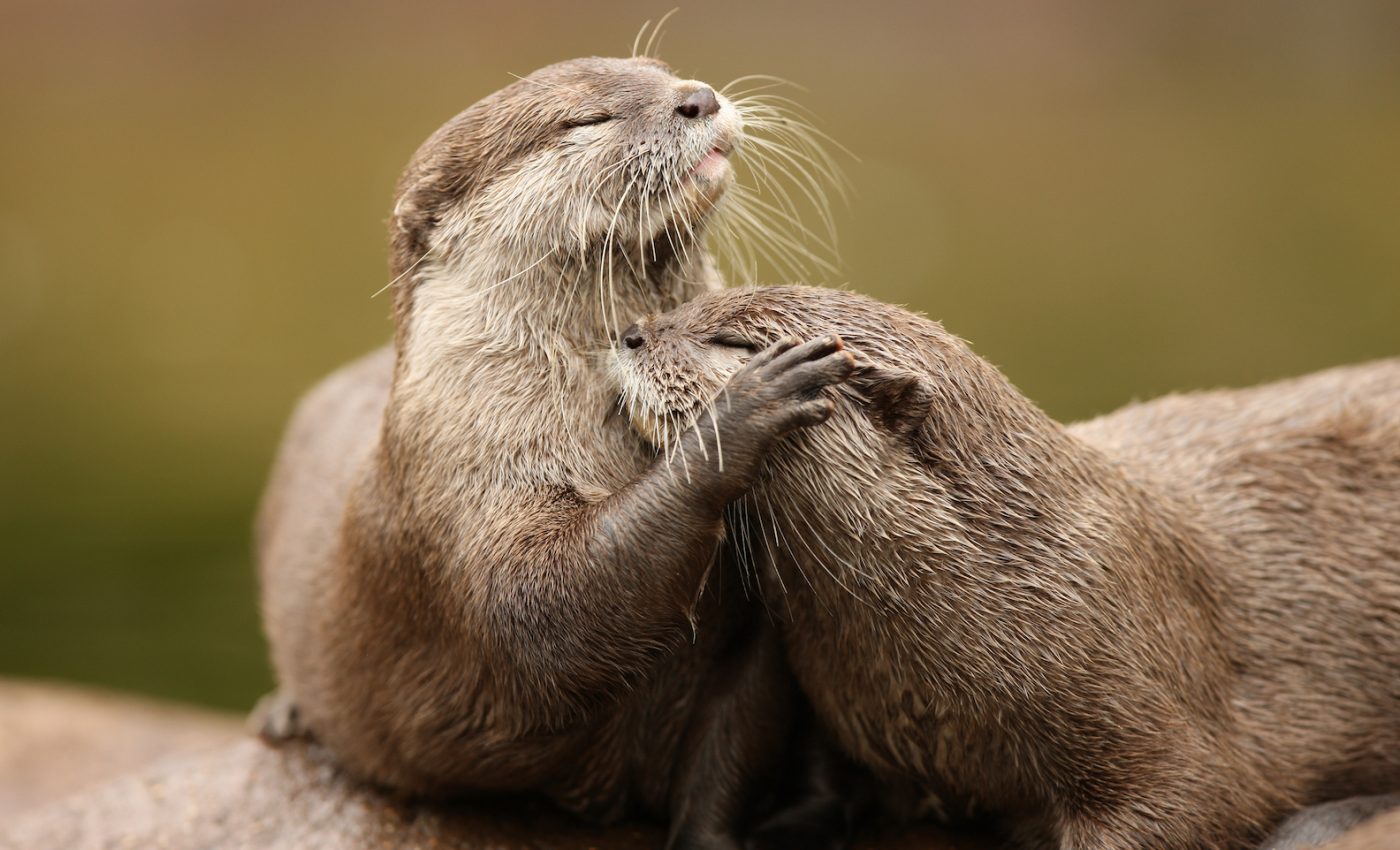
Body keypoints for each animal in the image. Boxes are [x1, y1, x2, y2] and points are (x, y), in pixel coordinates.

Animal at [255, 58, 858, 849]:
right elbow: (544, 612)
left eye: (661, 73)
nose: (697, 99)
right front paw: (741, 407)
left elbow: (729, 742)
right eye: (586, 120)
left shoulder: (748, 638)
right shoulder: (464, 496)